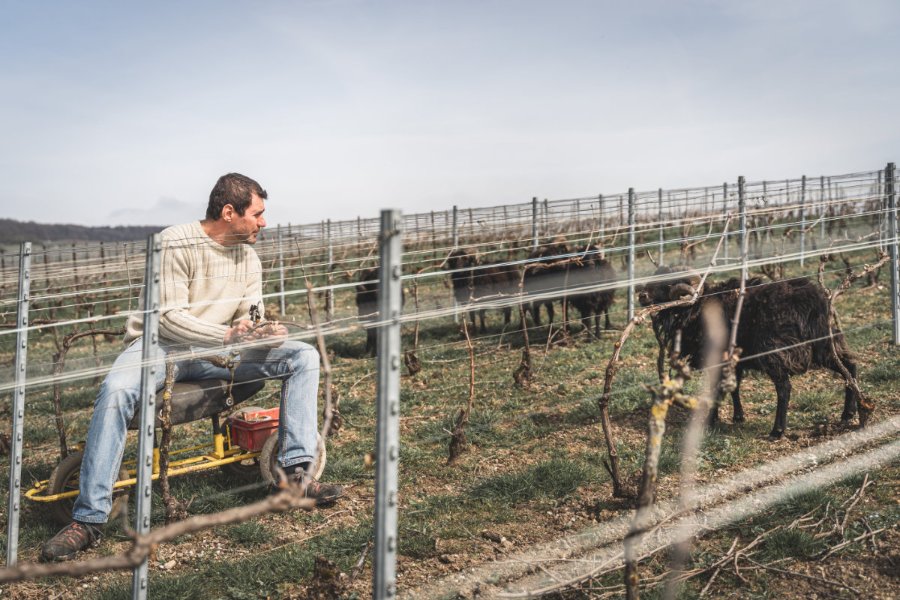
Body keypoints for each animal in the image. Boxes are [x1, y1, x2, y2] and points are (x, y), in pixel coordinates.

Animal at [640, 266, 864, 436]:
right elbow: (734, 387)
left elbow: (717, 389)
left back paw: (777, 431)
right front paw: (738, 416)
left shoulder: (718, 358)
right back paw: (849, 412)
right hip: (825, 344)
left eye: (667, 285)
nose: (642, 295)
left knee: (784, 388)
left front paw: (710, 420)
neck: (694, 308)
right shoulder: (735, 360)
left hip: (776, 351)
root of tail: (814, 301)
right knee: (849, 366)